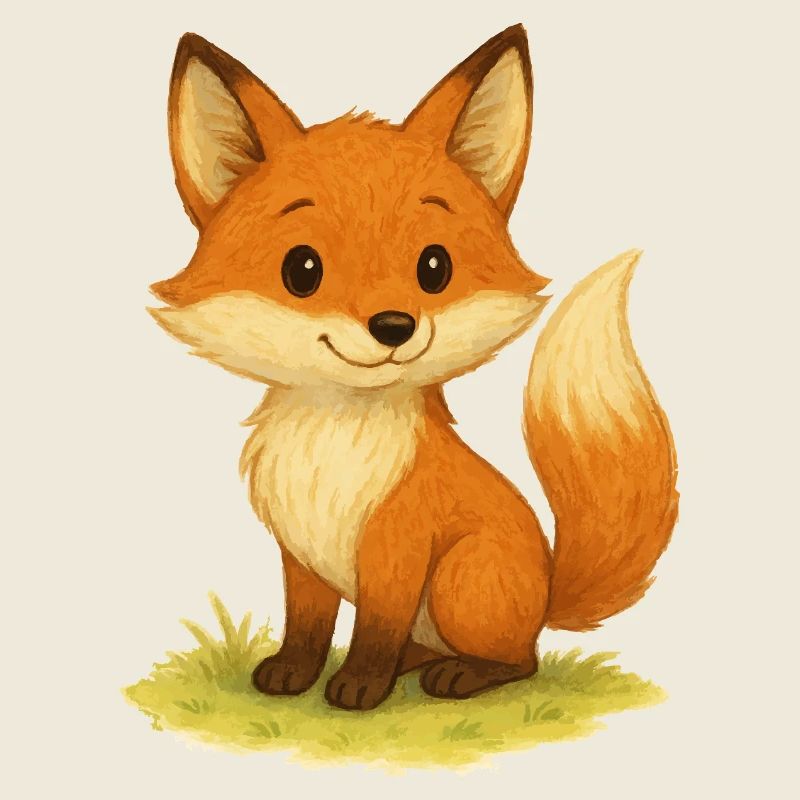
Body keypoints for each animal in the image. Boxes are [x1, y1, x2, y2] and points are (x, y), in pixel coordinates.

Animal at [149, 25, 678, 711]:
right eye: (302, 269)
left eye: (434, 267)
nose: (394, 326)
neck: (336, 448)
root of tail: (545, 596)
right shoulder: (299, 556)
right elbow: (307, 626)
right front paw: (293, 675)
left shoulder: (397, 549)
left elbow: (376, 629)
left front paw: (359, 687)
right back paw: (420, 664)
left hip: (463, 577)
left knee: (520, 661)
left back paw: (460, 675)